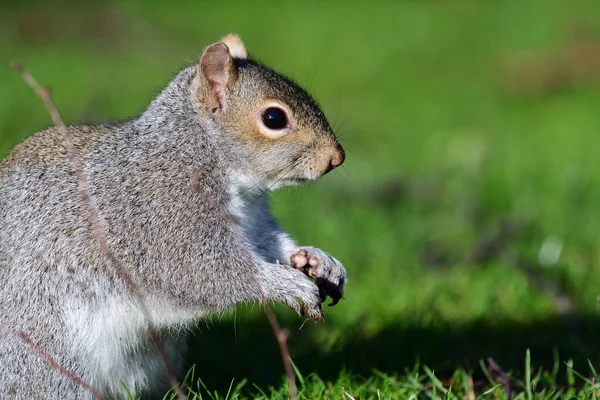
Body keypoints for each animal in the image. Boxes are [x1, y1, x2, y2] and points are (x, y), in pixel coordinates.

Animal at [0, 34, 346, 400]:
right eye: (274, 118)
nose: (336, 157)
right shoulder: (165, 217)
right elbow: (207, 272)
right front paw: (288, 284)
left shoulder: (252, 223)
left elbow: (270, 244)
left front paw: (317, 261)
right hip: (48, 357)